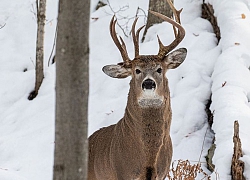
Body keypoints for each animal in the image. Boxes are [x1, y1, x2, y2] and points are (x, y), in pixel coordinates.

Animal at [89, 0, 187, 179]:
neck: (148, 157)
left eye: (159, 69)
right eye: (137, 70)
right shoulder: (122, 172)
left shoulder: (163, 172)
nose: (148, 83)